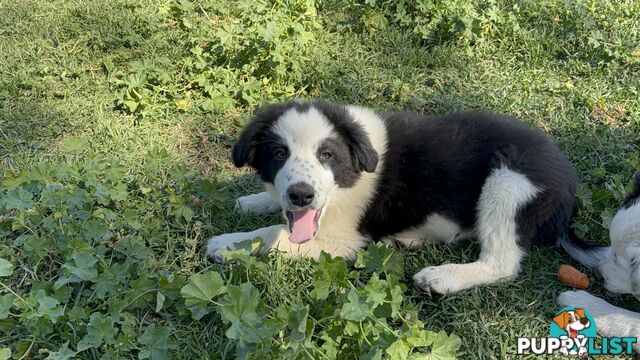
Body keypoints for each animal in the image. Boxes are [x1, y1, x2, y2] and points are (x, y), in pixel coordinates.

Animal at [208, 100, 604, 294]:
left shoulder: (346, 240)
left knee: (502, 263)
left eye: (327, 155)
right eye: (279, 154)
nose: (302, 196)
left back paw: (443, 277)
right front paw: (251, 202)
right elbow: (277, 215)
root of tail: (568, 192)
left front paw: (227, 243)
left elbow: (274, 236)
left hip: (507, 181)